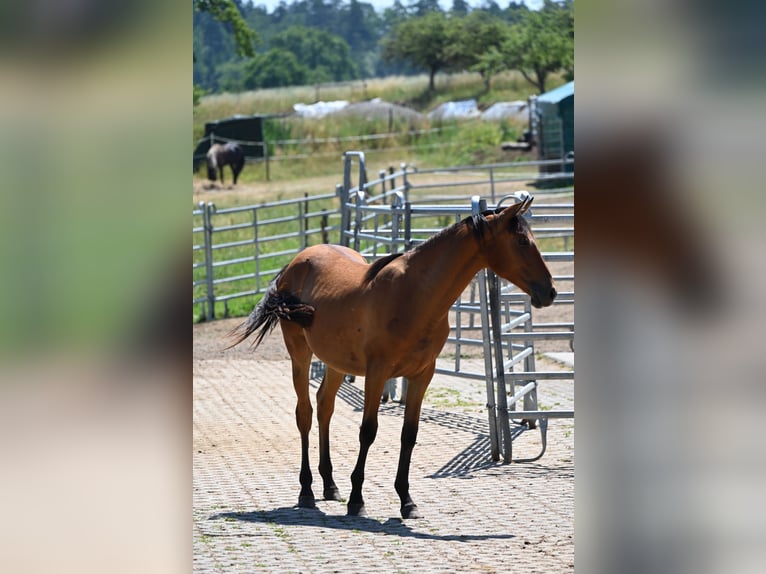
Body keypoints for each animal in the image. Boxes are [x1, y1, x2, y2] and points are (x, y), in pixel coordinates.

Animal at [228, 194, 556, 519]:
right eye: (521, 241)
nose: (550, 291)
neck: (414, 294)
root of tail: (295, 264)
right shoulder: (377, 373)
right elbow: (368, 431)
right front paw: (357, 500)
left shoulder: (422, 375)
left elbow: (409, 434)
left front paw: (406, 500)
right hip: (300, 354)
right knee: (305, 414)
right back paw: (307, 490)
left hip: (336, 362)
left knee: (324, 408)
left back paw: (330, 485)